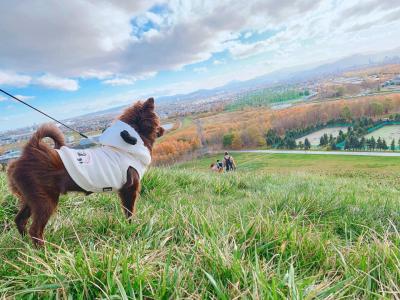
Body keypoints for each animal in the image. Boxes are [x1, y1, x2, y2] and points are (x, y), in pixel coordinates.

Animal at [6, 98, 162, 246]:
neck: (126, 147)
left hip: (31, 198)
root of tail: (31, 150)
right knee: (35, 230)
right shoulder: (129, 190)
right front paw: (131, 227)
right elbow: (129, 211)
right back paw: (44, 251)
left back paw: (25, 244)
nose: (163, 130)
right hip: (45, 201)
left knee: (20, 220)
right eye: (158, 120)